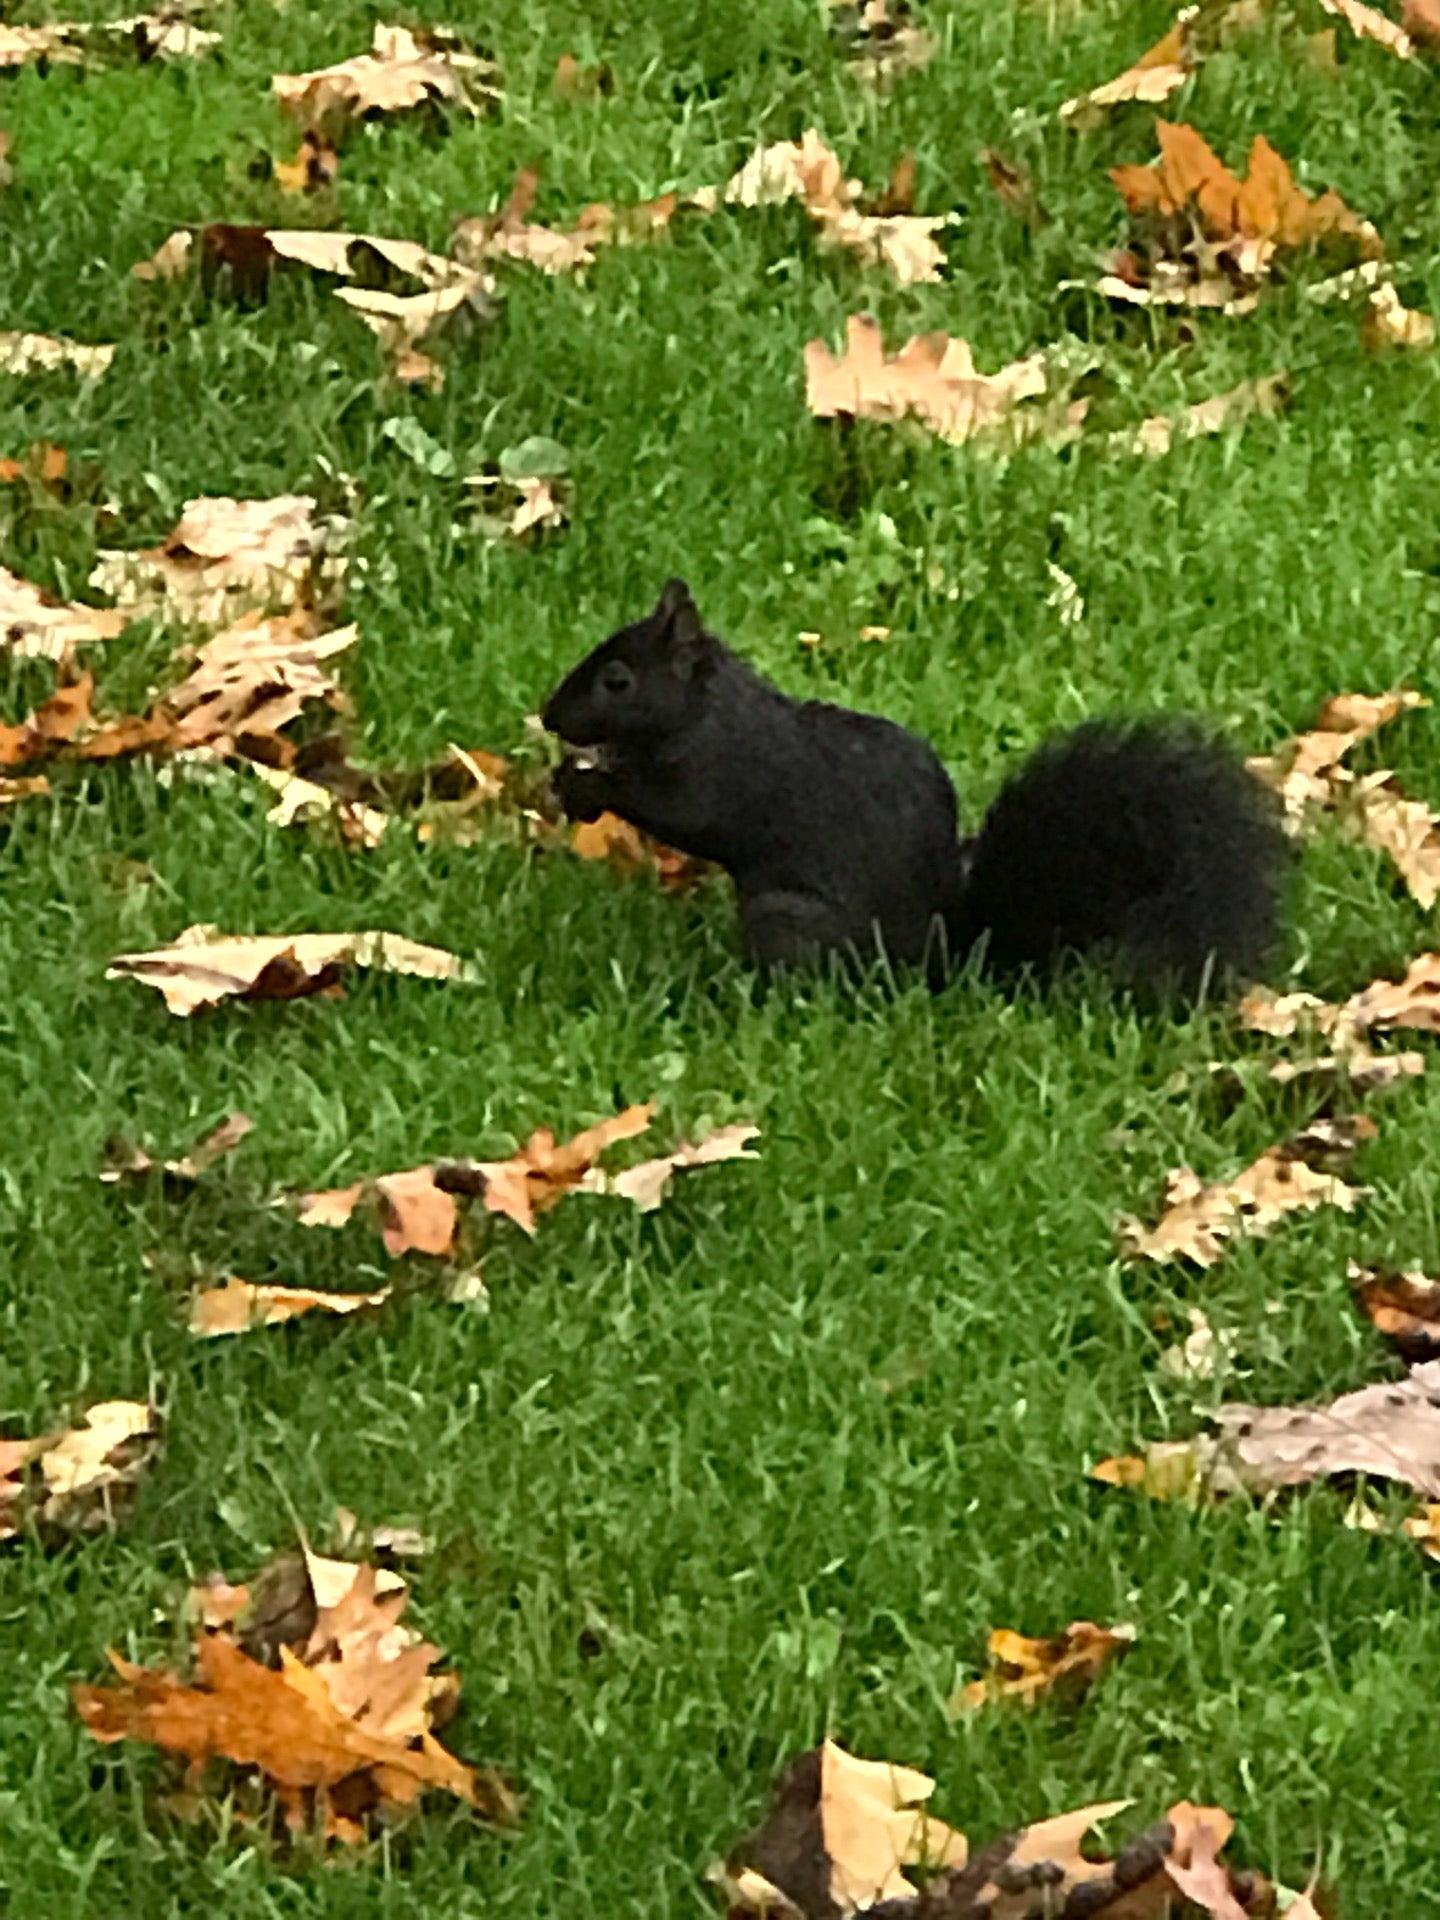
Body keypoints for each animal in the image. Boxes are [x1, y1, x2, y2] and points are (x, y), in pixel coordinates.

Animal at [545, 576, 1290, 998]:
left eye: (617, 681)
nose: (551, 716)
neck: (705, 705)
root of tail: (939, 961)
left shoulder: (714, 769)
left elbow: (676, 812)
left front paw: (585, 785)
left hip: (787, 919)